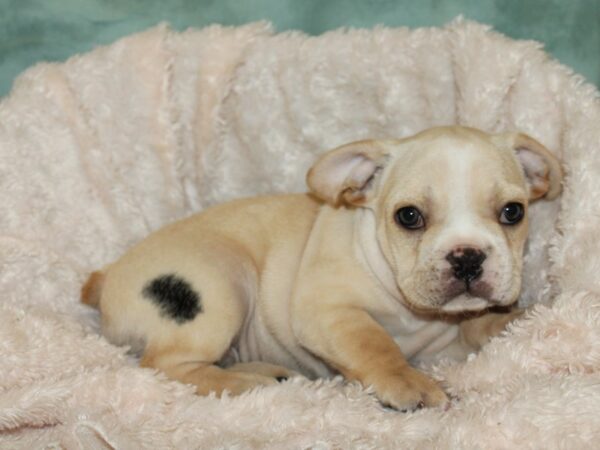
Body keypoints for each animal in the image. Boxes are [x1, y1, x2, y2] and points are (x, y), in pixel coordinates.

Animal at [83, 125, 564, 412]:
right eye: (408, 217)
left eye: (513, 212)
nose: (466, 256)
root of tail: (104, 278)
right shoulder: (327, 313)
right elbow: (372, 342)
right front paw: (406, 382)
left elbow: (487, 323)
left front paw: (520, 319)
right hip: (219, 284)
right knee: (167, 365)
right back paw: (244, 386)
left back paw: (266, 375)